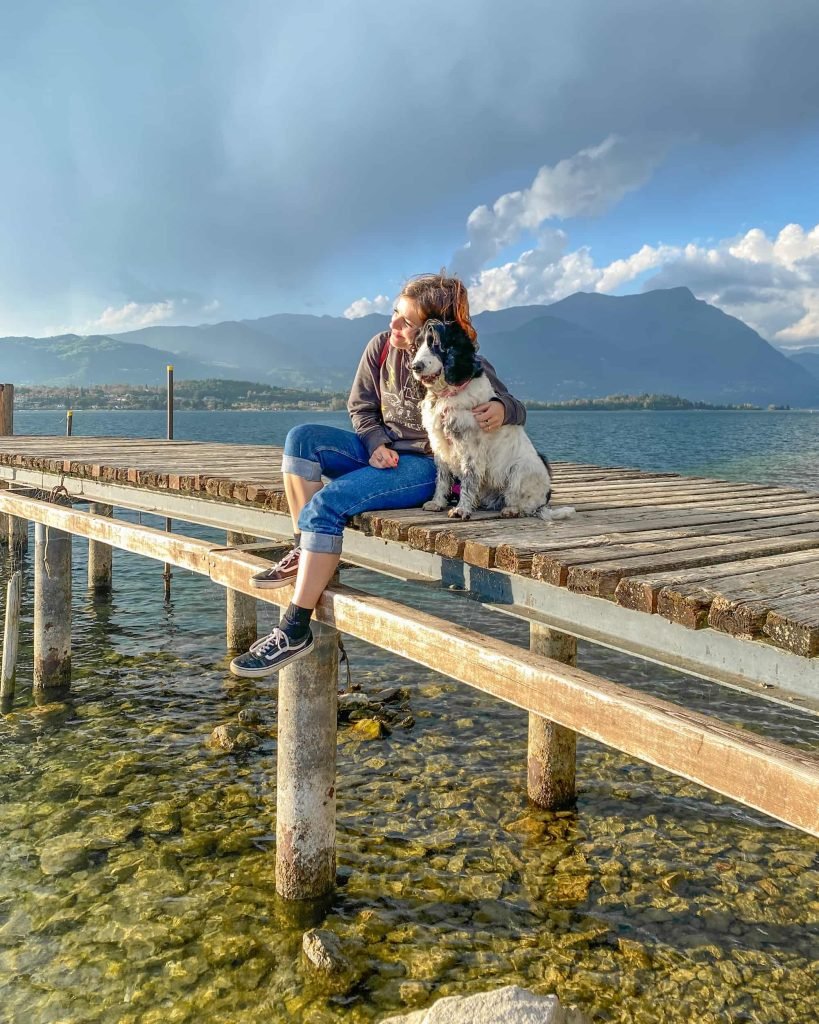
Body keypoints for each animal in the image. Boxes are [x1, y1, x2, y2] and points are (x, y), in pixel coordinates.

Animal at [409, 317, 577, 520]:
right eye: (417, 344)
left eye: (435, 342)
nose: (415, 366)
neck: (448, 394)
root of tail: (545, 500)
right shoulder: (441, 444)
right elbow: (442, 478)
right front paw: (437, 503)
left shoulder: (471, 448)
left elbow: (468, 480)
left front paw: (461, 509)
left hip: (521, 470)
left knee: (528, 506)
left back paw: (512, 509)